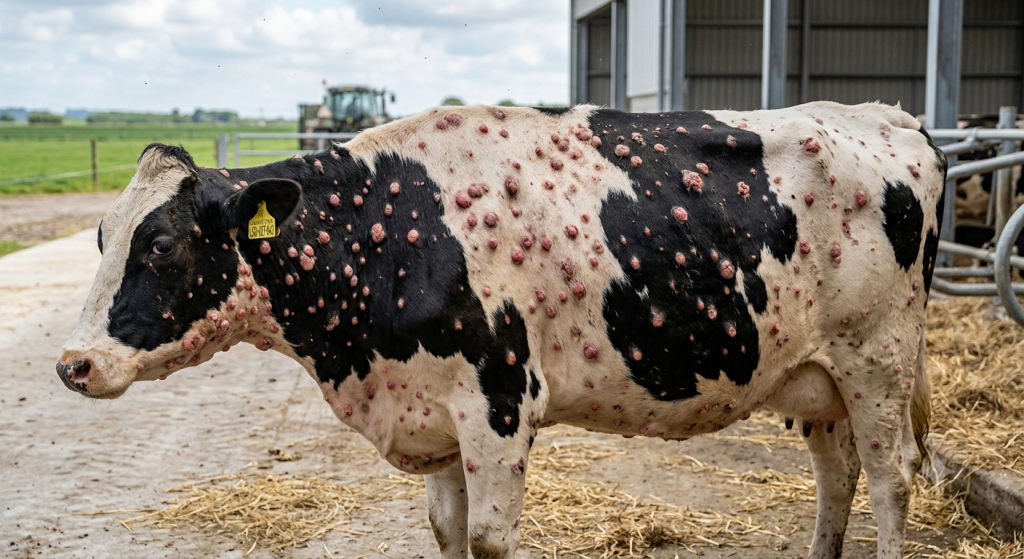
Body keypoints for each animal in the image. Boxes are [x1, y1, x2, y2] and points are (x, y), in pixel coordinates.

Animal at [57, 101, 945, 559]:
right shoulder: (434, 411)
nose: (73, 363)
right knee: (837, 476)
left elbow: (486, 537)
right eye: (101, 235)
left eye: (160, 244)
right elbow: (444, 529)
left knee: (891, 476)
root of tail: (885, 115)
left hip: (879, 356)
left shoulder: (499, 400)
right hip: (817, 372)